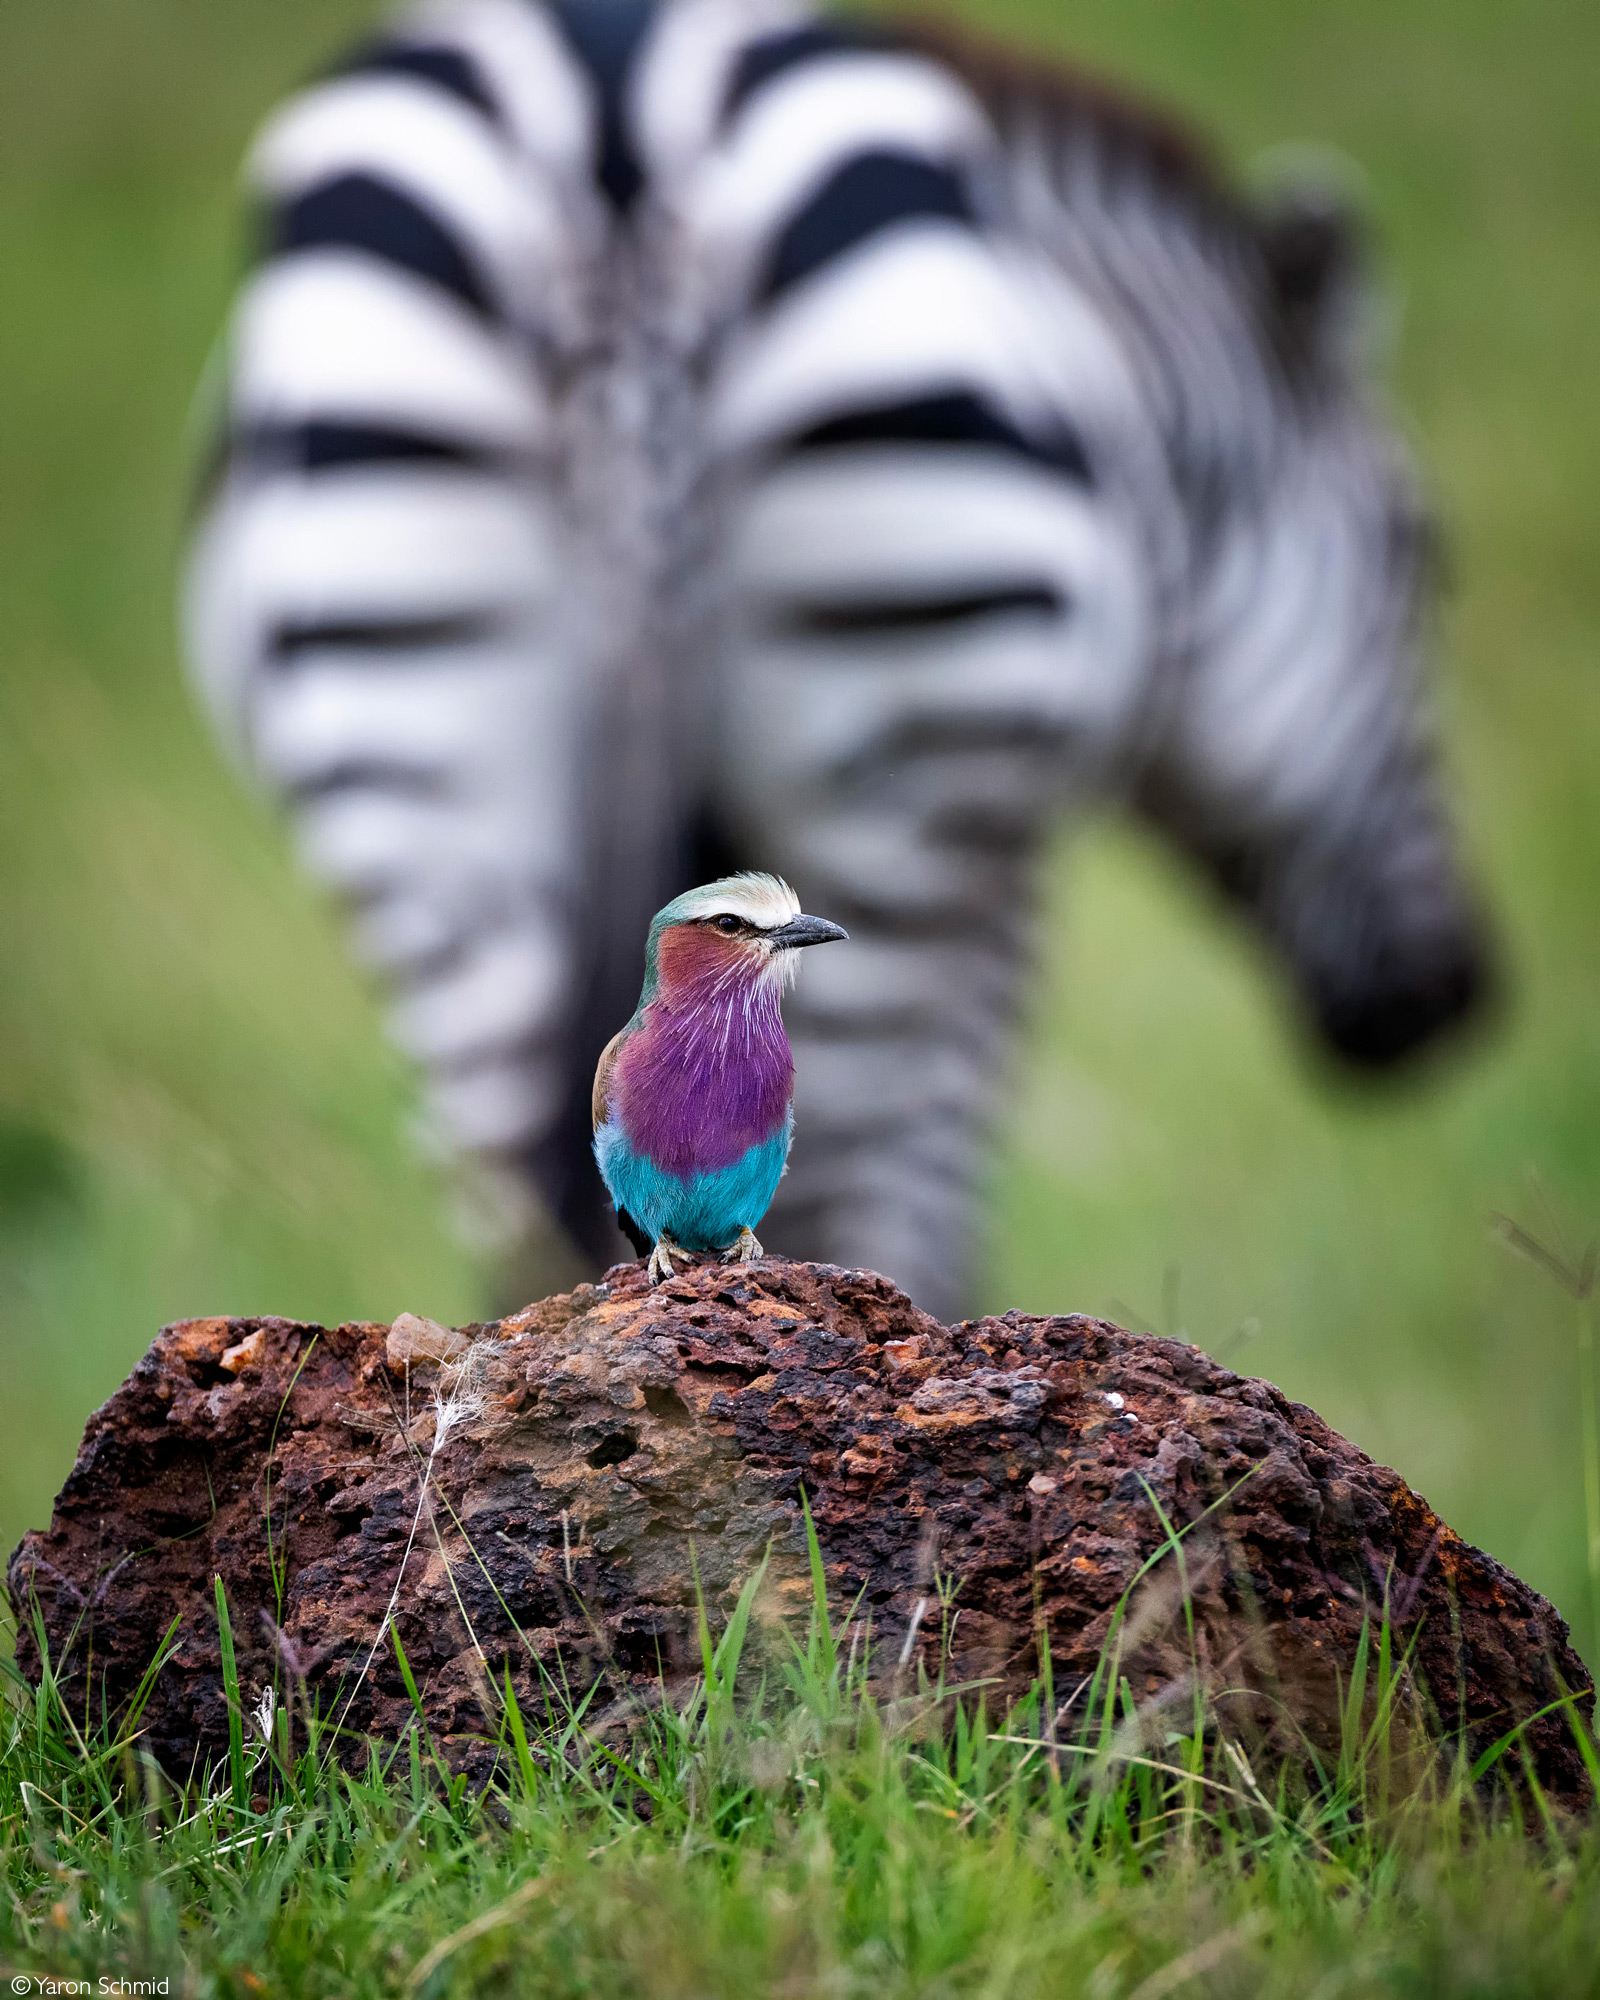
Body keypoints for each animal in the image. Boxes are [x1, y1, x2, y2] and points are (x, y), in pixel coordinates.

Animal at [184, 3, 1488, 1328]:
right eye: (1426, 558)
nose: (1446, 998)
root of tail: (618, 140)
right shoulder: (999, 874)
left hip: (434, 823)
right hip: (898, 803)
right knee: (859, 1178)